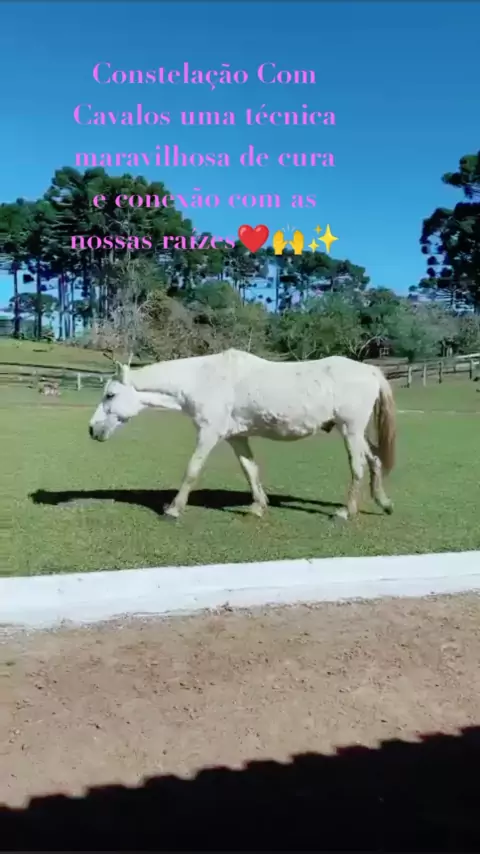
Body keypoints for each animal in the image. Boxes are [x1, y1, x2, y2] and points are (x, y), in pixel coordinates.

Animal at [88, 348, 396, 521]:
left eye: (110, 395)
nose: (92, 429)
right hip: (354, 432)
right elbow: (251, 470)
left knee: (358, 466)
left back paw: (345, 512)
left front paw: (173, 509)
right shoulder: (236, 437)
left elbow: (192, 469)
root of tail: (370, 370)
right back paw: (384, 503)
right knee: (375, 460)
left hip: (350, 430)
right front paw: (258, 507)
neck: (203, 379)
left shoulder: (209, 433)